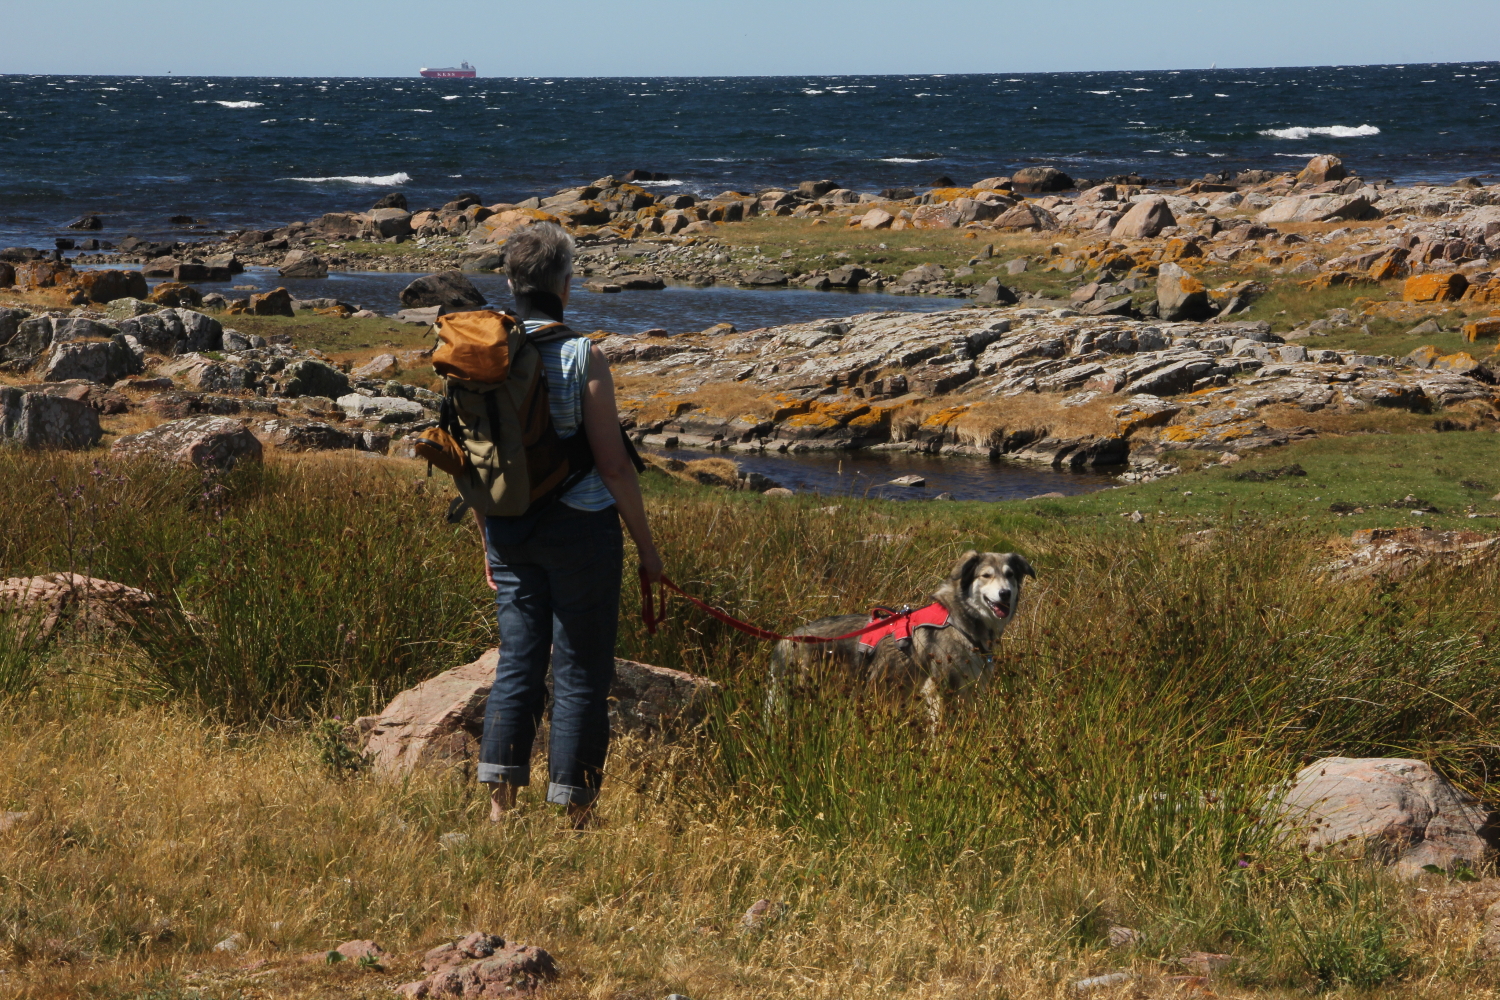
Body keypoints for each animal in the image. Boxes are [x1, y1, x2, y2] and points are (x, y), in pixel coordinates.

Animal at [774, 551, 1032, 722]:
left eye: (1010, 575)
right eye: (986, 575)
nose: (1005, 594)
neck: (961, 622)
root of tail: (788, 638)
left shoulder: (969, 690)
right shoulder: (938, 690)